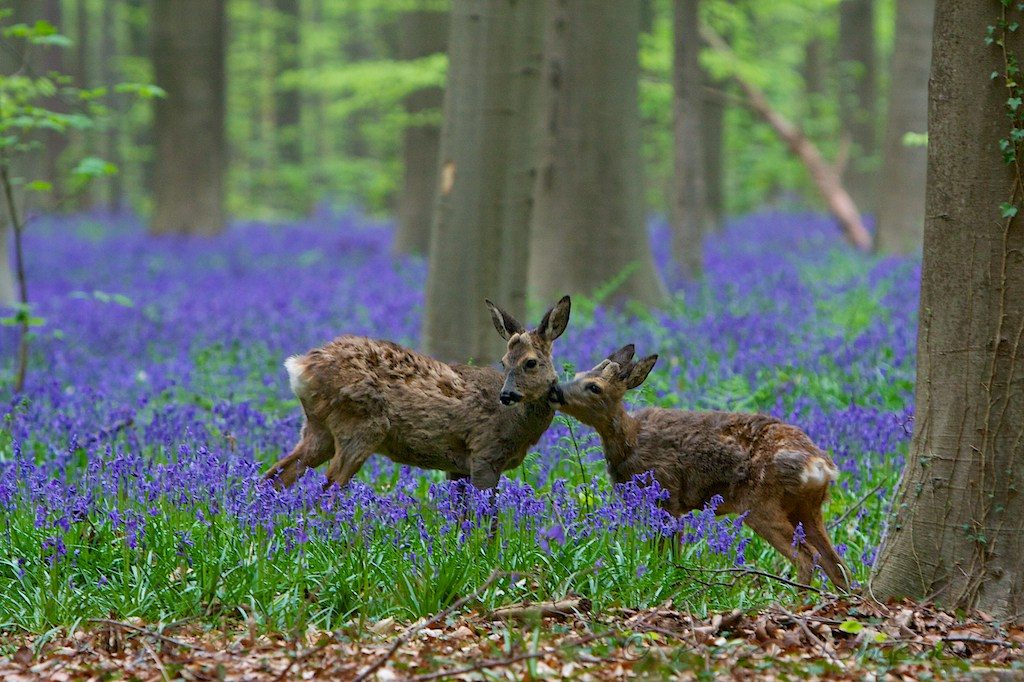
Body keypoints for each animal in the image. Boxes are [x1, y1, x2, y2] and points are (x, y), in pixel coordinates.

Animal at [262, 296, 577, 489]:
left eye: (530, 362)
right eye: (503, 362)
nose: (507, 395)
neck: (517, 425)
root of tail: (301, 367)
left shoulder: (458, 466)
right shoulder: (484, 454)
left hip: (319, 429)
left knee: (273, 477)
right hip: (361, 425)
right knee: (327, 489)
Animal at [548, 342, 851, 585]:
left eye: (594, 387)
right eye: (577, 374)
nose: (555, 390)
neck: (630, 443)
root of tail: (819, 464)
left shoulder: (666, 495)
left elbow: (665, 550)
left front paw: (663, 577)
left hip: (761, 505)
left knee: (807, 558)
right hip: (807, 508)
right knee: (837, 565)